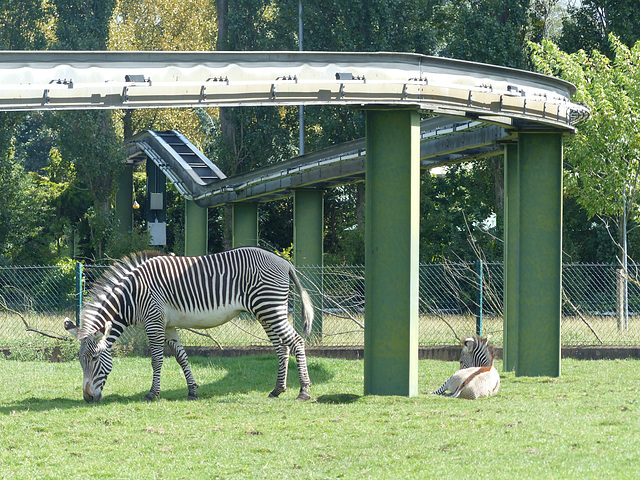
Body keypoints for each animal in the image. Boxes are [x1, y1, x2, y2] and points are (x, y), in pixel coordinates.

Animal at [64, 249, 316, 404]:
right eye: (80, 361)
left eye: (94, 359)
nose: (87, 398)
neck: (131, 297)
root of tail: (284, 262)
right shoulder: (168, 326)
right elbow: (181, 357)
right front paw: (192, 391)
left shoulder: (154, 322)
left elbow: (157, 359)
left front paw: (153, 393)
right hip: (267, 311)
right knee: (281, 347)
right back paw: (277, 389)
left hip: (269, 307)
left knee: (296, 341)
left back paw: (303, 391)